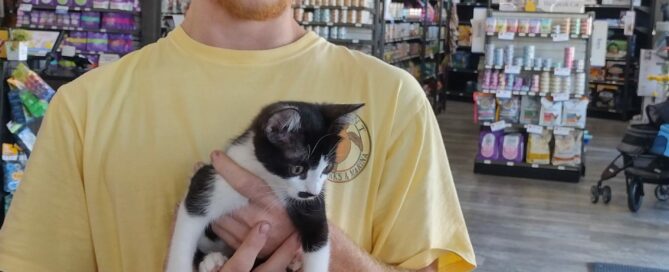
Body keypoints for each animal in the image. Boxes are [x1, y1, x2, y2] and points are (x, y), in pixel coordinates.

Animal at [167, 101, 366, 270]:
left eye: (327, 168)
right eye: (297, 169)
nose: (312, 192)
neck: (268, 178)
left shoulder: (311, 206)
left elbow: (318, 237)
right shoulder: (210, 180)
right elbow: (186, 230)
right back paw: (210, 261)